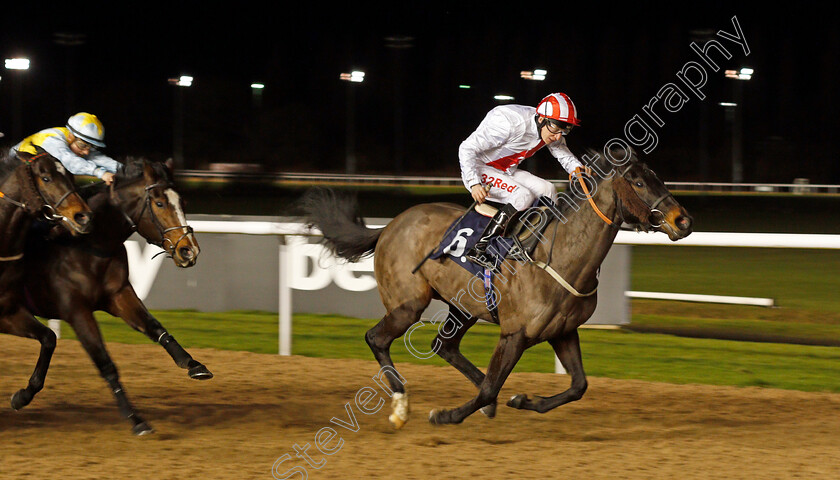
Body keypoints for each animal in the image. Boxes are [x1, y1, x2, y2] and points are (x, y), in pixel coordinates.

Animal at [0, 151, 93, 416]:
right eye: (46, 178)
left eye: (71, 175)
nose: (83, 216)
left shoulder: (8, 311)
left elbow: (49, 338)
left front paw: (23, 396)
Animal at [21, 158, 203, 436]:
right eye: (160, 203)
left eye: (182, 202)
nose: (189, 250)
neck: (86, 245)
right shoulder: (76, 311)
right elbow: (104, 362)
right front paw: (135, 418)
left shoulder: (118, 294)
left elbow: (154, 327)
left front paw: (192, 364)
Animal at [306, 149, 692, 428]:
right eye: (638, 182)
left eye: (658, 178)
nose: (683, 221)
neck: (559, 255)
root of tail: (388, 226)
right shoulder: (514, 333)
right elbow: (493, 386)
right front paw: (445, 415)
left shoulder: (563, 331)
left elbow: (578, 386)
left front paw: (522, 400)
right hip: (408, 303)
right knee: (377, 339)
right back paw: (401, 405)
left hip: (462, 306)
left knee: (443, 345)